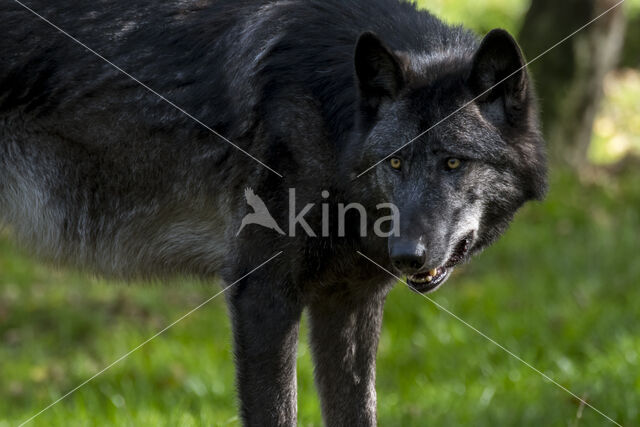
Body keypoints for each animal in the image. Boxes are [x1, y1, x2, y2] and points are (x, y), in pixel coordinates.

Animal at [1, 0, 544, 424]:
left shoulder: (349, 301)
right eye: (395, 161)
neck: (331, 121)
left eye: (453, 162)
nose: (407, 254)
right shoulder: (262, 294)